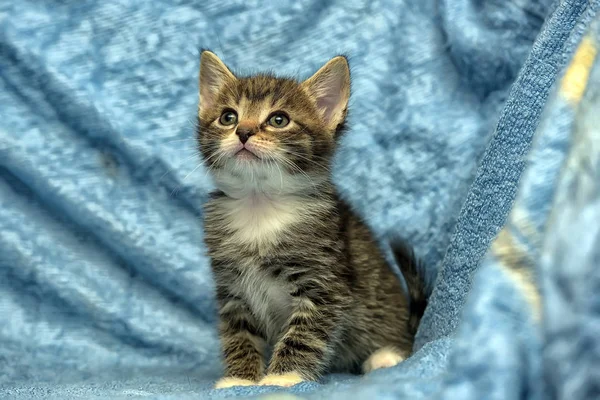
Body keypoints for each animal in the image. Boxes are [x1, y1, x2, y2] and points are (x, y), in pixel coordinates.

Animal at [197, 50, 426, 388]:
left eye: (278, 120)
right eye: (228, 117)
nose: (244, 132)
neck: (259, 205)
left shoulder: (325, 285)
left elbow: (304, 335)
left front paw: (283, 377)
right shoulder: (232, 288)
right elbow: (238, 334)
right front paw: (239, 379)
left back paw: (385, 355)